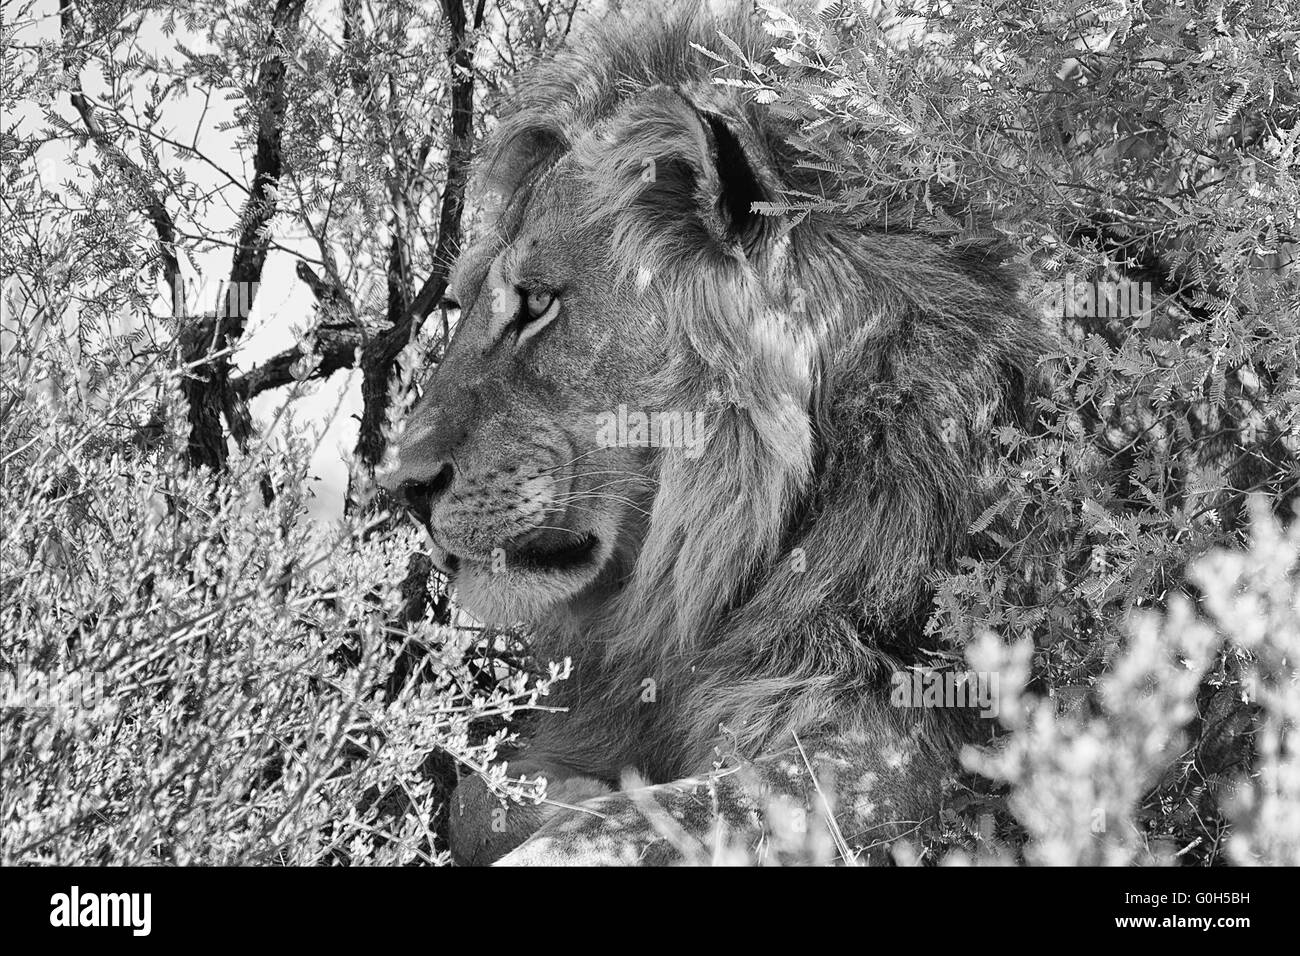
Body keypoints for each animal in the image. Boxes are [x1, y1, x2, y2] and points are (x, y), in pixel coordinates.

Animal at [384, 1, 1055, 868]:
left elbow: (643, 822)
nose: (402, 487)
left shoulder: (908, 741)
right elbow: (475, 797)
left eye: (536, 303)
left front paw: (581, 805)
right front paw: (556, 788)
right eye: (465, 299)